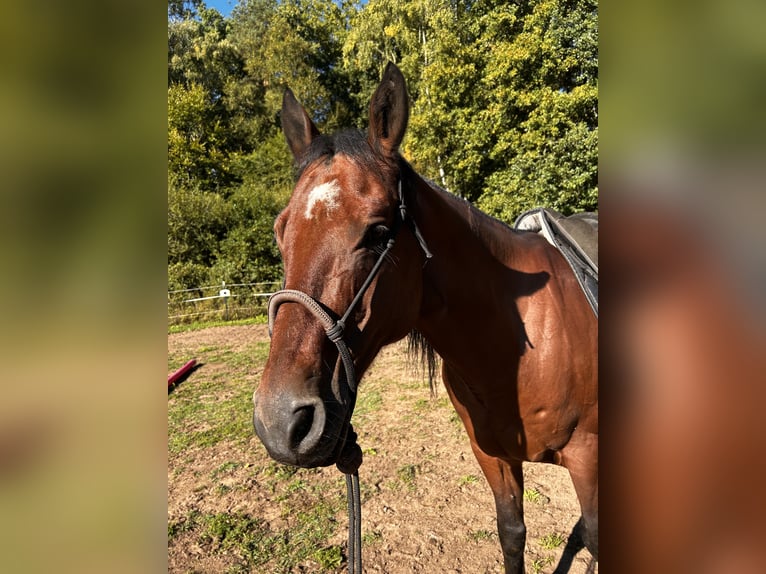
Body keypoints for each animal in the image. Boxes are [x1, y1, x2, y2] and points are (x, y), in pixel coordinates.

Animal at [252, 63, 598, 573]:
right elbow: (513, 534)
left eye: (378, 232)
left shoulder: (588, 457)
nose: (280, 421)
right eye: (281, 231)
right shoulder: (493, 457)